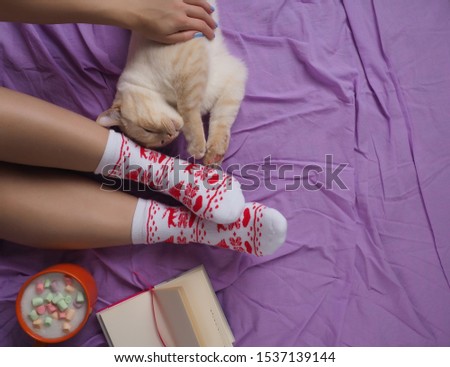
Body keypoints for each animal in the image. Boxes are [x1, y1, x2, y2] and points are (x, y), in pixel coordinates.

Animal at [96, 1, 248, 165]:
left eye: (147, 130)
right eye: (161, 143)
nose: (170, 136)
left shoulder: (189, 65)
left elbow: (189, 110)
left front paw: (197, 147)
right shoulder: (233, 76)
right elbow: (222, 119)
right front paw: (214, 155)